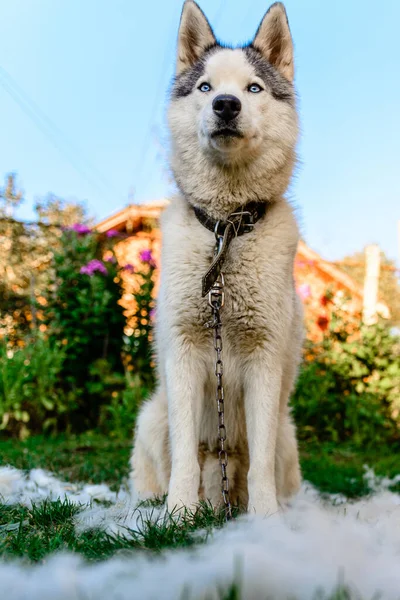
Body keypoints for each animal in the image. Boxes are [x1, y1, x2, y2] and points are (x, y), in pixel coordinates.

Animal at [131, 1, 304, 516]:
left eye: (254, 88)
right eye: (205, 87)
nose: (226, 104)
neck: (226, 232)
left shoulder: (264, 358)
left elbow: (260, 462)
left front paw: (265, 519)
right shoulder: (185, 355)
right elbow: (186, 455)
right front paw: (178, 514)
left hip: (288, 434)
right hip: (153, 416)